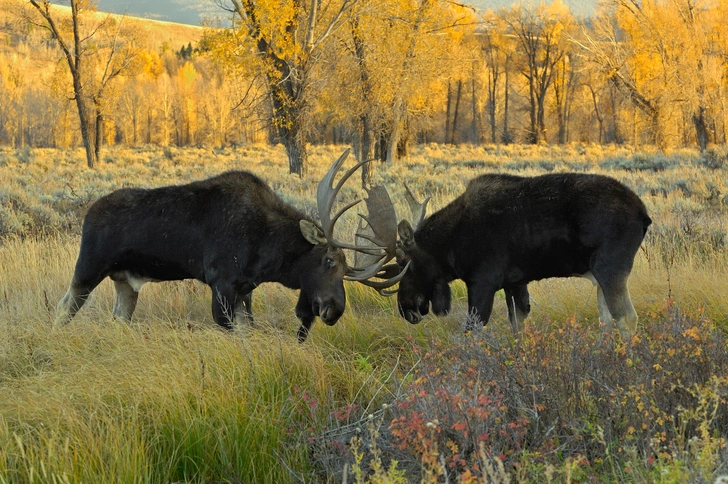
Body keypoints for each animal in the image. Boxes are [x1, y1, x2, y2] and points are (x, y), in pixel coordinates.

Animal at [55, 149, 404, 342]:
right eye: (328, 261)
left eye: (346, 270)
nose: (335, 309)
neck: (269, 252)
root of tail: (88, 213)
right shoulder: (221, 283)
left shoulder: (244, 289)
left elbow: (247, 327)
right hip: (88, 268)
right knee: (63, 307)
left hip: (126, 282)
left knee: (118, 319)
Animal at [390, 172, 652, 338]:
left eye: (403, 263)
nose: (404, 308)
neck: (451, 245)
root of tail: (644, 214)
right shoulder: (514, 283)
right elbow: (517, 325)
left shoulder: (483, 282)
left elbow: (472, 332)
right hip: (599, 276)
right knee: (606, 320)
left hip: (610, 268)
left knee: (627, 318)